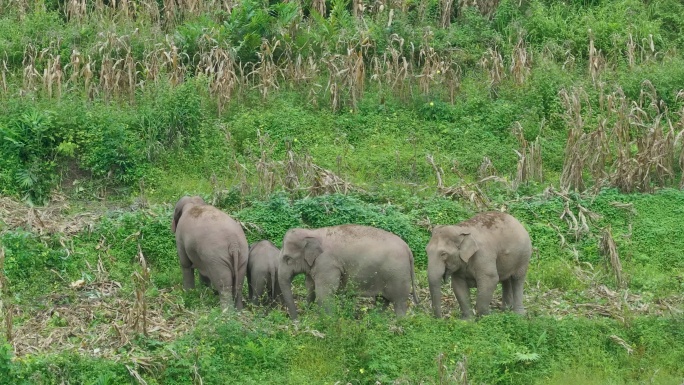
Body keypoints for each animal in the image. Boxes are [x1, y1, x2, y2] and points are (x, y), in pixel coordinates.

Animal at [276, 224, 416, 320]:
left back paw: (399, 323)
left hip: (398, 276)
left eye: (287, 258)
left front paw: (329, 321)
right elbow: (311, 288)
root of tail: (408, 249)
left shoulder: (327, 264)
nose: (296, 320)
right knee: (383, 301)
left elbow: (324, 293)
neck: (312, 232)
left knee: (399, 303)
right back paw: (374, 319)